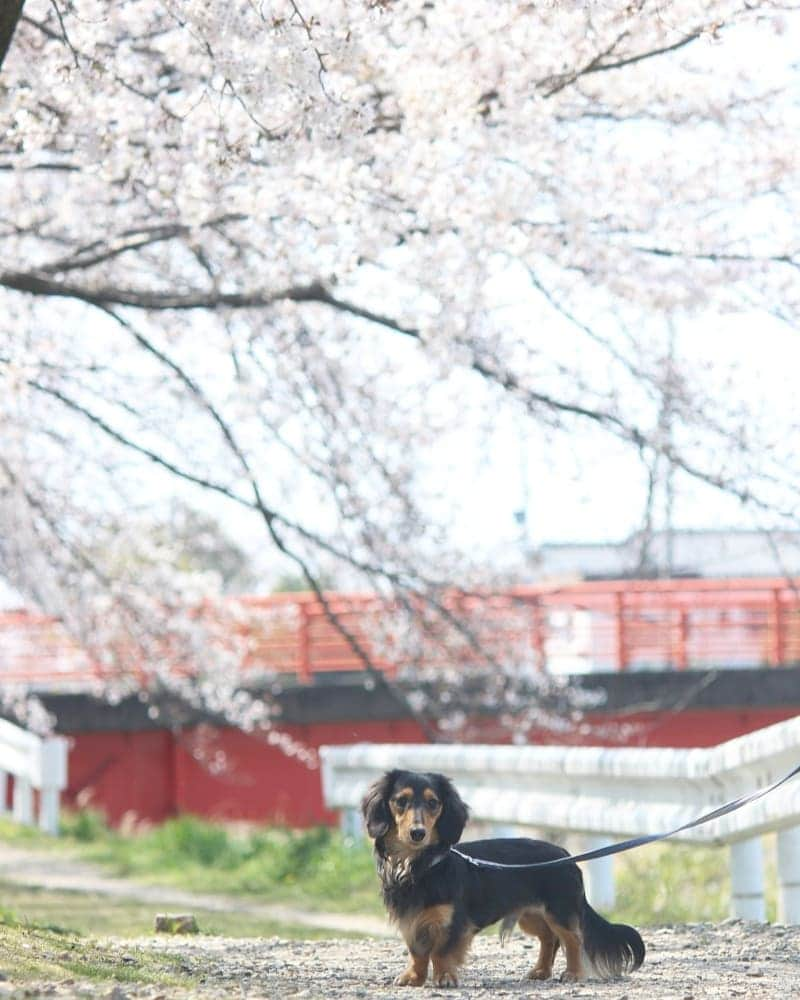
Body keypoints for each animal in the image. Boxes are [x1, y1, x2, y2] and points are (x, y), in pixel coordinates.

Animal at [360, 768, 644, 988]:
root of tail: (566, 854)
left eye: (433, 803)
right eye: (401, 801)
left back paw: (572, 973)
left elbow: (440, 951)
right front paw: (413, 977)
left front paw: (445, 977)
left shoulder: (453, 921)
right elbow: (417, 952)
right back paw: (541, 971)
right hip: (531, 916)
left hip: (559, 911)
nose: (417, 833)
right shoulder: (410, 919)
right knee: (549, 939)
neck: (417, 865)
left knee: (572, 939)